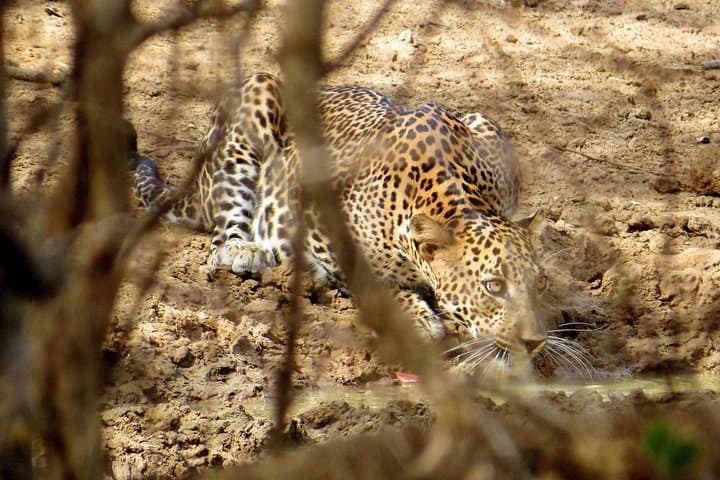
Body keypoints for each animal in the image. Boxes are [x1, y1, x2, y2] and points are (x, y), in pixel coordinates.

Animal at [132, 73, 557, 373]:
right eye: (493, 286)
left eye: (541, 283)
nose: (535, 341)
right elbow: (375, 282)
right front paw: (418, 319)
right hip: (256, 94)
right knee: (221, 239)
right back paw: (248, 251)